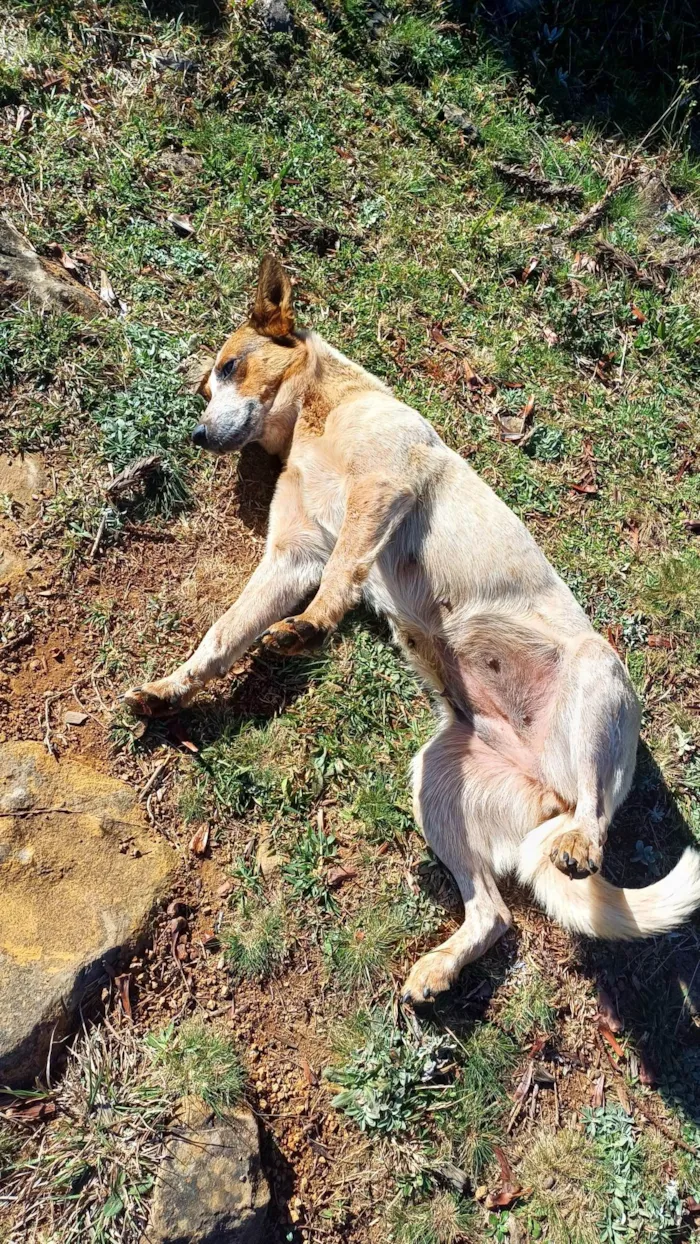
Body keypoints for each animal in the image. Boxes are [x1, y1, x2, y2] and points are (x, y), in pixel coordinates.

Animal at [126, 257, 700, 1005]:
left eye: (229, 367)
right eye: (206, 385)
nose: (194, 436)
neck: (318, 417)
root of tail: (550, 793)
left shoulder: (380, 491)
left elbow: (342, 574)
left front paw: (310, 627)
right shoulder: (289, 556)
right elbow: (222, 638)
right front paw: (170, 690)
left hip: (597, 677)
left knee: (597, 810)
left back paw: (581, 843)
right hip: (434, 781)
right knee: (495, 915)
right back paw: (441, 967)